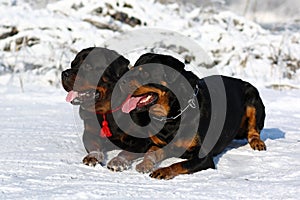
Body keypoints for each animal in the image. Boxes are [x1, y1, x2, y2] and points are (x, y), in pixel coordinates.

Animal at [116, 52, 266, 179]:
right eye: (132, 68)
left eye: (145, 73)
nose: (121, 81)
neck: (172, 117)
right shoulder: (162, 145)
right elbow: (150, 153)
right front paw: (144, 164)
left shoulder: (203, 157)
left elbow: (179, 164)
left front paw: (163, 171)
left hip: (252, 96)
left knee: (253, 130)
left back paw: (257, 142)